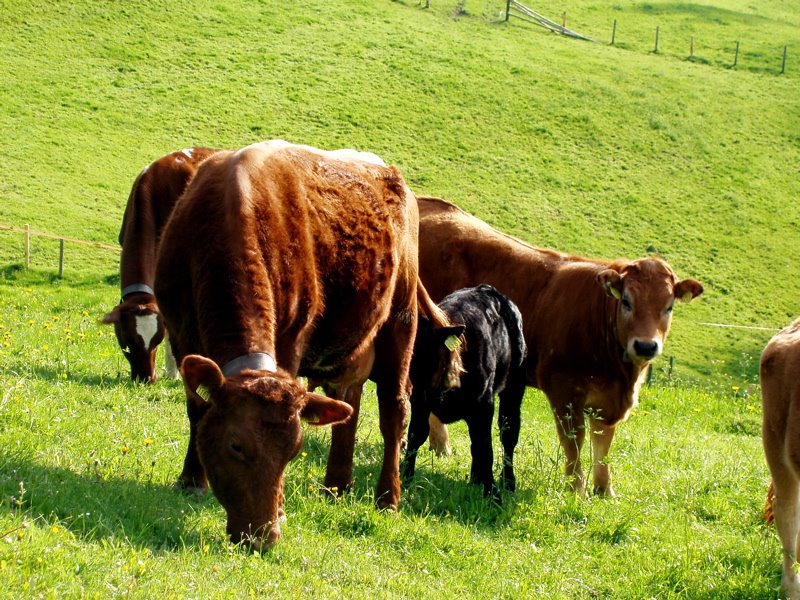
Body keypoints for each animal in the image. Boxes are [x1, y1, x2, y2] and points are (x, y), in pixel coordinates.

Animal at [153, 142, 460, 548]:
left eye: (294, 451)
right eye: (236, 445)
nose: (263, 536)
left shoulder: (290, 342)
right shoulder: (180, 332)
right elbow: (196, 409)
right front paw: (190, 479)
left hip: (401, 316)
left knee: (394, 410)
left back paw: (387, 498)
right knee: (348, 402)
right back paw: (336, 486)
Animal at [404, 284, 528, 500]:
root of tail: (488, 289)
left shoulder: (484, 404)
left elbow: (485, 448)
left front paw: (493, 495)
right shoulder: (420, 399)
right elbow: (416, 436)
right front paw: (404, 479)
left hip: (513, 388)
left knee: (509, 434)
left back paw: (508, 482)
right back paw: (476, 479)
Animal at [416, 197, 704, 496]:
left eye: (669, 307)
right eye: (626, 301)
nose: (646, 346)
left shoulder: (607, 401)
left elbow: (603, 442)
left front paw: (604, 490)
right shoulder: (564, 389)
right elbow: (574, 440)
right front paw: (576, 488)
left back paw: (441, 446)